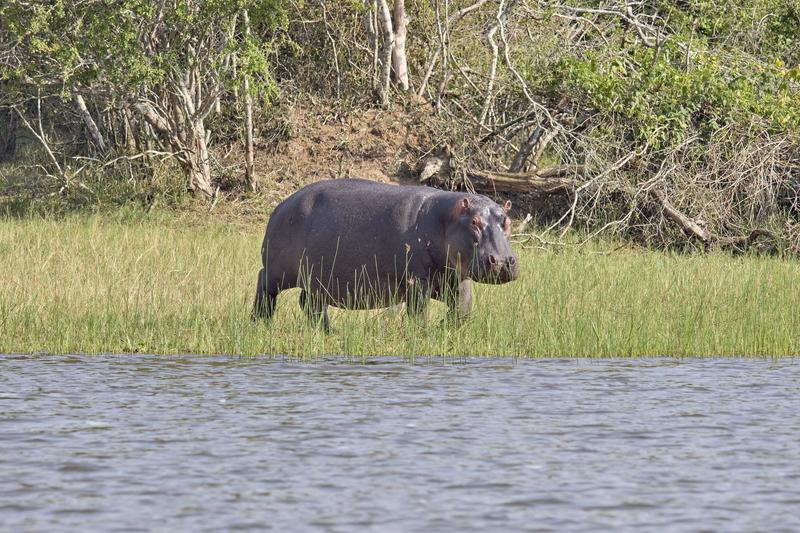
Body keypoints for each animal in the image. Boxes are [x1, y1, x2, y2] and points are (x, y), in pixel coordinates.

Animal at [253, 179, 520, 328]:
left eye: (507, 221)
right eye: (474, 222)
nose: (502, 262)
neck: (445, 219)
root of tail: (281, 206)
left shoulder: (456, 277)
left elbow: (462, 311)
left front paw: (444, 327)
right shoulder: (416, 280)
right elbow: (418, 312)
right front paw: (423, 332)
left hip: (315, 280)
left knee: (309, 304)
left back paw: (330, 332)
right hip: (278, 271)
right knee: (265, 287)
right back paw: (260, 323)